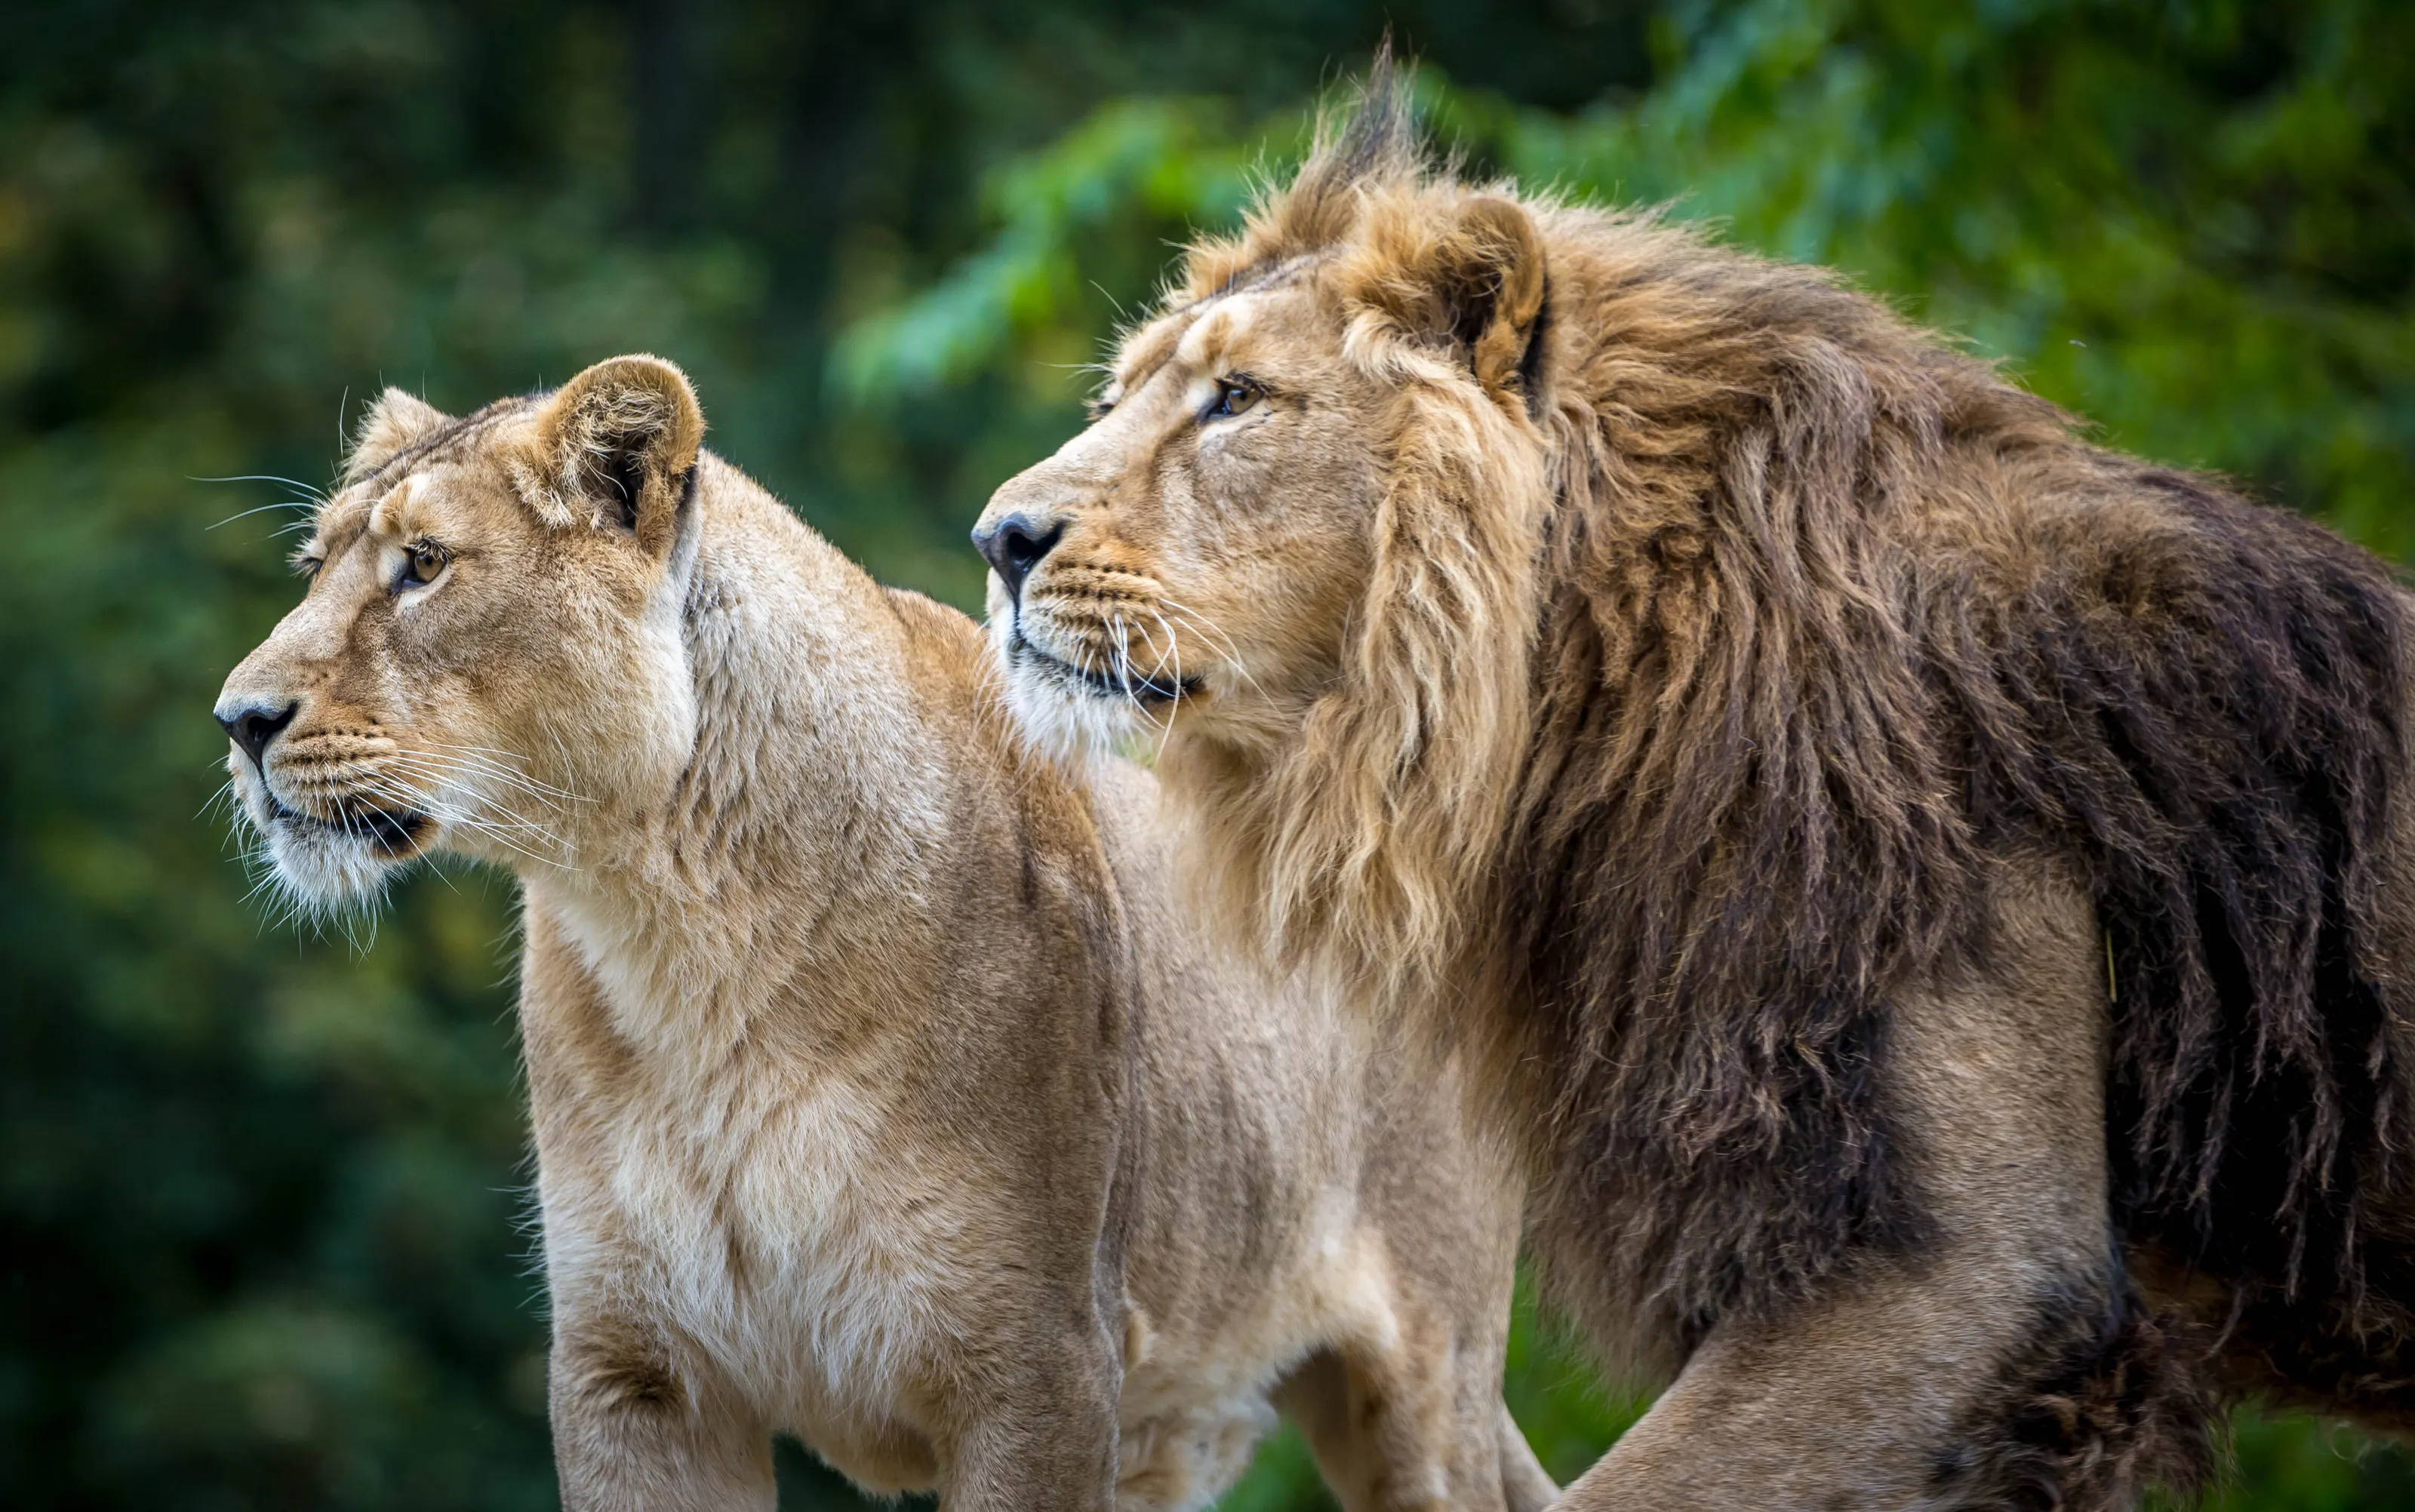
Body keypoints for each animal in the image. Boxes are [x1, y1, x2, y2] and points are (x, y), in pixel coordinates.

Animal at [211, 354, 1558, 1512]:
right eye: (315, 564)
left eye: (424, 566)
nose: (239, 718)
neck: (676, 935)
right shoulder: (633, 1369)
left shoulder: (1041, 1365)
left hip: (1422, 1386)